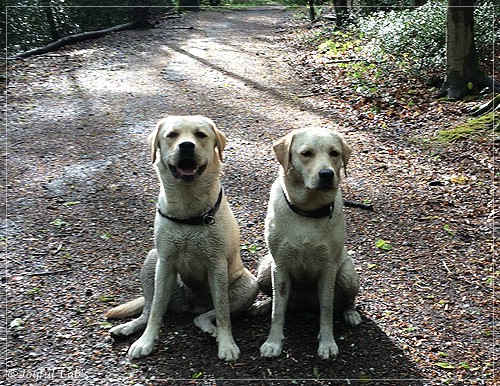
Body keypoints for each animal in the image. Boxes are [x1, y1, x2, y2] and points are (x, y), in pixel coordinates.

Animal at [256, 128, 362, 360]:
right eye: (306, 153)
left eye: (334, 153)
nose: (327, 175)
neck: (307, 211)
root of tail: (304, 305)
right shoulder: (280, 266)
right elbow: (278, 311)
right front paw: (273, 343)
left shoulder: (328, 269)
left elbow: (327, 310)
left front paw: (327, 343)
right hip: (265, 268)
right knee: (277, 300)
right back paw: (262, 304)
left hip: (347, 275)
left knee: (345, 302)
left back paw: (351, 314)